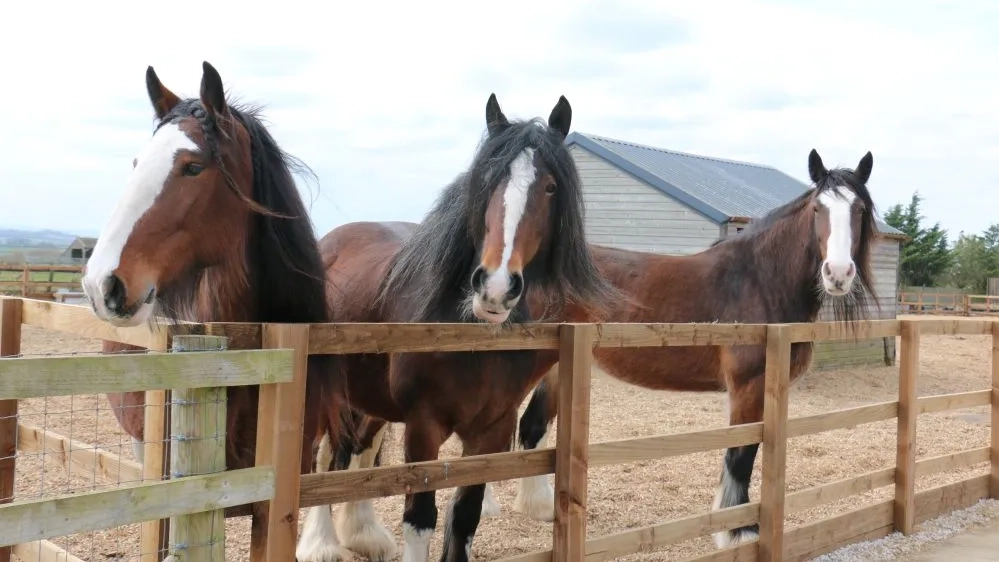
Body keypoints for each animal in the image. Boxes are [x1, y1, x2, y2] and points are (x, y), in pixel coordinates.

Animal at [294, 94, 620, 562]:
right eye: (486, 181)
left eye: (550, 187)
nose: (496, 287)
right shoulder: (423, 427)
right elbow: (420, 518)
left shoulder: (491, 430)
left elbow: (465, 516)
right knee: (322, 459)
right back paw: (321, 543)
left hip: (369, 397)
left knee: (358, 451)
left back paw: (363, 533)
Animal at [344, 149, 882, 550]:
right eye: (818, 210)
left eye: (858, 211)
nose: (838, 274)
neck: (754, 279)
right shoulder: (748, 386)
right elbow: (741, 453)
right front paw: (738, 531)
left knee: (528, 429)